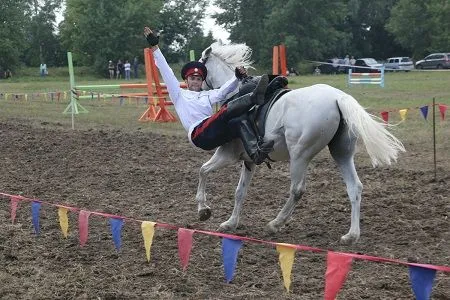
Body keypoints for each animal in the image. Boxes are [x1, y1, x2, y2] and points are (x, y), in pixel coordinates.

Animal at [193, 42, 404, 244]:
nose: (195, 89)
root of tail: (338, 98)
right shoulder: (249, 160)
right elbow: (240, 191)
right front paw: (230, 223)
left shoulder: (228, 155)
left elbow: (203, 171)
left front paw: (203, 208)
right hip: (341, 154)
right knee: (355, 187)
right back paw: (351, 235)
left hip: (299, 156)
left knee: (297, 189)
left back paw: (275, 223)